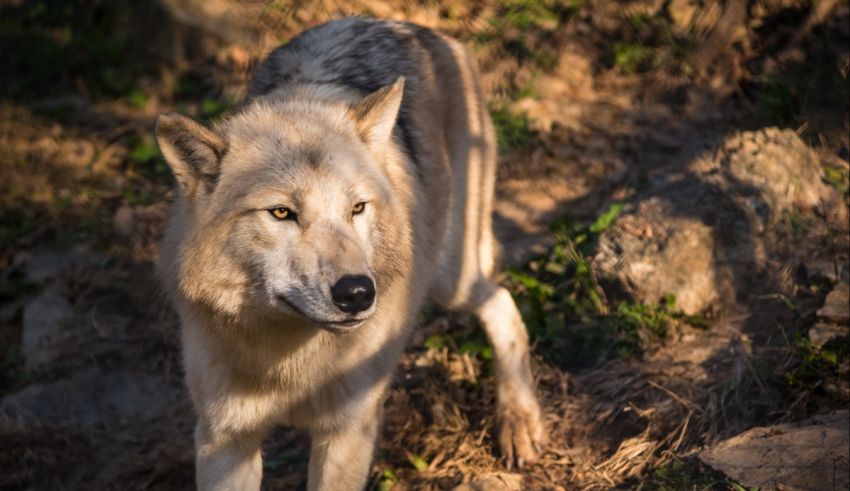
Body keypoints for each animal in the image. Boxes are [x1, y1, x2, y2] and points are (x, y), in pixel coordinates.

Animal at [156, 16, 544, 491]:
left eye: (356, 207)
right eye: (281, 212)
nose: (357, 293)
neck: (291, 363)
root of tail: (412, 27)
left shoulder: (348, 432)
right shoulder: (223, 440)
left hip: (449, 277)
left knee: (503, 302)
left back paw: (520, 421)